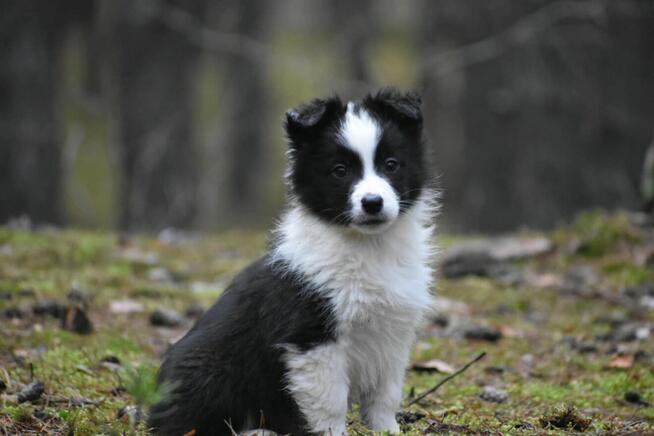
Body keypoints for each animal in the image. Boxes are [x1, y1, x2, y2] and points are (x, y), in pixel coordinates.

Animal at [147, 87, 436, 434]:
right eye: (340, 171)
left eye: (391, 164)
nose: (372, 203)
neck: (368, 247)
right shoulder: (312, 338)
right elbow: (330, 403)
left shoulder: (393, 334)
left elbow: (385, 395)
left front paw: (388, 430)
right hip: (206, 369)